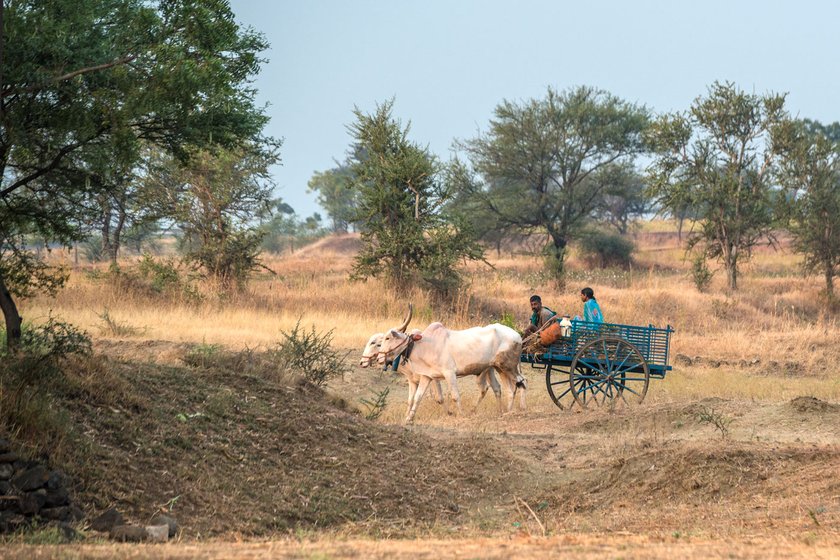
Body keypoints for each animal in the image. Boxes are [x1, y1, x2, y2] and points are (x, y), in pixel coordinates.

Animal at [378, 322, 528, 422]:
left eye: (387, 338)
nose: (379, 358)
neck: (424, 345)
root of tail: (518, 336)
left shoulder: (449, 373)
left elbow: (455, 396)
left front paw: (461, 414)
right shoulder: (427, 376)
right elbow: (417, 397)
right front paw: (409, 418)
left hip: (509, 367)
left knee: (522, 382)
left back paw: (517, 410)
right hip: (499, 369)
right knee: (509, 389)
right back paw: (505, 412)